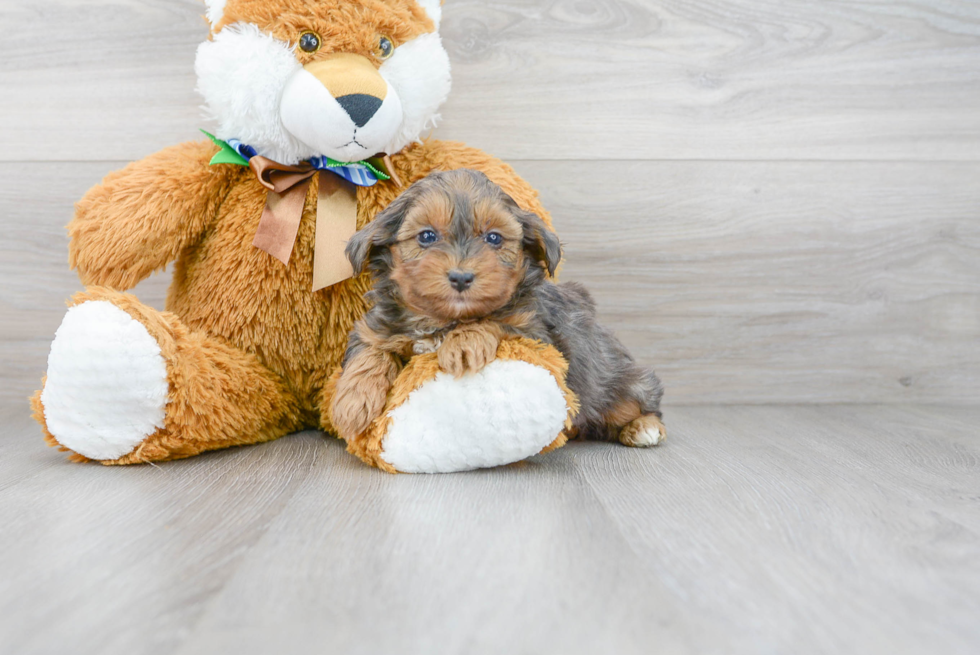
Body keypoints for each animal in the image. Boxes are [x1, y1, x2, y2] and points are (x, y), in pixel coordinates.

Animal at [332, 168, 668, 452]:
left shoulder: (538, 335)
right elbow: (371, 351)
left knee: (638, 401)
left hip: (612, 380)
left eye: (493, 238)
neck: (443, 319)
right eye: (426, 236)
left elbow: (495, 321)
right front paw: (352, 401)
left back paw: (644, 427)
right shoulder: (376, 328)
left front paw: (463, 342)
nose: (461, 277)